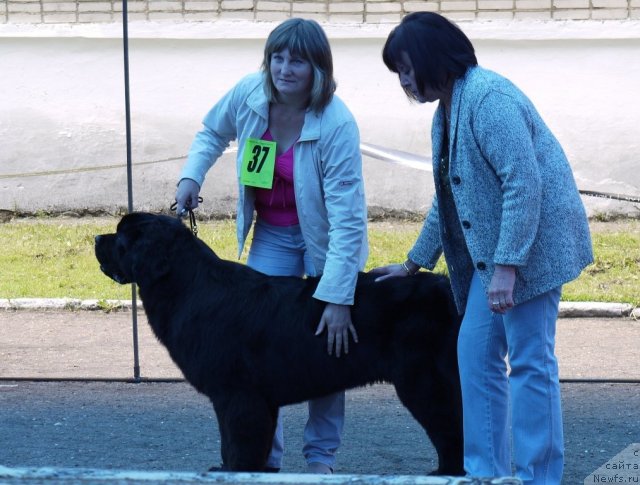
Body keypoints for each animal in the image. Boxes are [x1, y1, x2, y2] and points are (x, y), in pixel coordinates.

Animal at [95, 214, 462, 474]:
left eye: (121, 236)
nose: (97, 238)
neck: (187, 286)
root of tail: (447, 288)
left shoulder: (237, 395)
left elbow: (238, 443)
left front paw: (235, 471)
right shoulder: (253, 399)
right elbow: (234, 443)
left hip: (423, 384)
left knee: (452, 429)